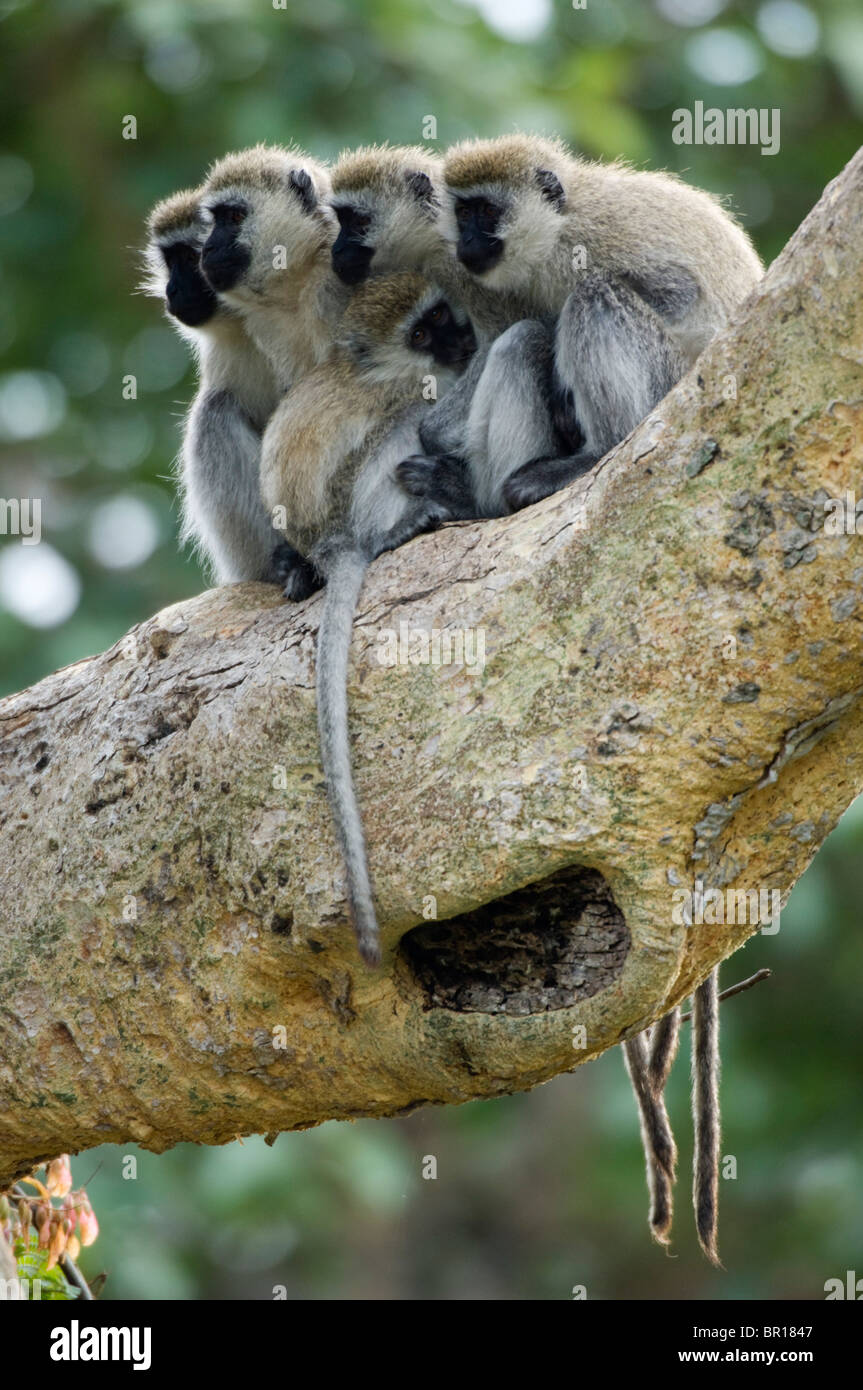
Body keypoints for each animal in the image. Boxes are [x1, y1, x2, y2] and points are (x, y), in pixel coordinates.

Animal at [259, 273, 477, 963]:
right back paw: (401, 530)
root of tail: (331, 544)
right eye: (423, 333)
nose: (463, 338)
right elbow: (426, 417)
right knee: (401, 427)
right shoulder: (417, 386)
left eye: (442, 315)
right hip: (355, 498)